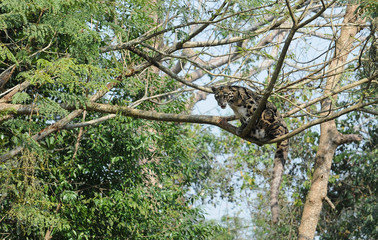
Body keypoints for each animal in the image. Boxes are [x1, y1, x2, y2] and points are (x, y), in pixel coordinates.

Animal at [211, 85, 288, 224]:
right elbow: (243, 122)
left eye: (225, 95)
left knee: (274, 129)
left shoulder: (254, 108)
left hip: (271, 117)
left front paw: (246, 126)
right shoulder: (239, 116)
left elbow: (252, 118)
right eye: (217, 97)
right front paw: (241, 128)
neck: (235, 104)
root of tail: (287, 130)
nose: (221, 103)